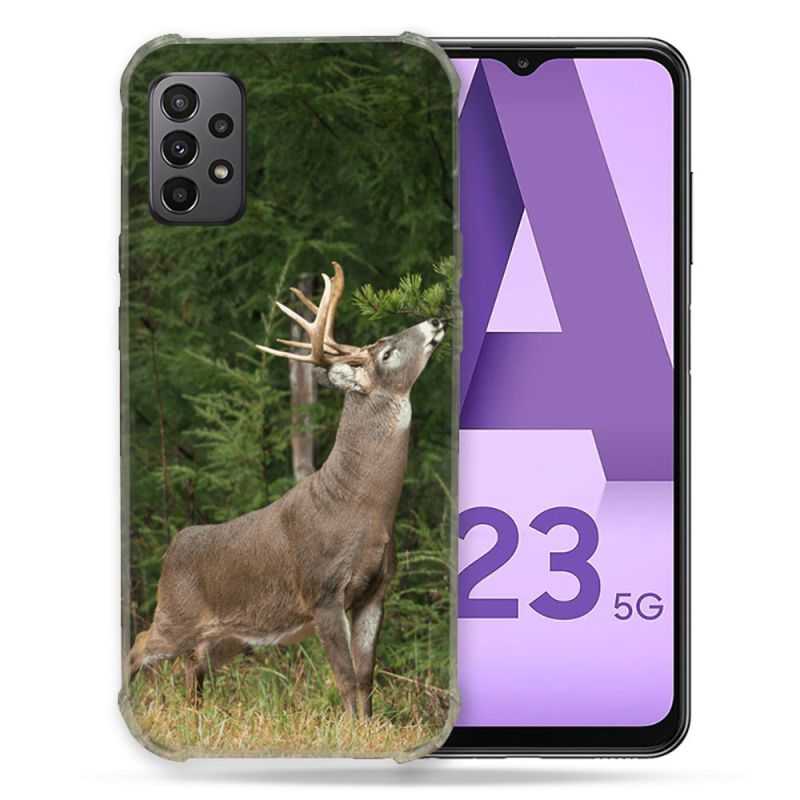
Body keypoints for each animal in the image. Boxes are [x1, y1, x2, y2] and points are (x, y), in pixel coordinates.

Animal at [128, 262, 446, 718]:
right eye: (386, 352)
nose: (436, 320)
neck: (362, 508)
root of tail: (173, 547)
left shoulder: (376, 591)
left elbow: (366, 677)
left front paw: (368, 727)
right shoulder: (323, 591)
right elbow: (345, 677)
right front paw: (351, 730)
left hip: (229, 636)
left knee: (193, 665)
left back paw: (197, 715)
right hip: (175, 613)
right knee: (139, 645)